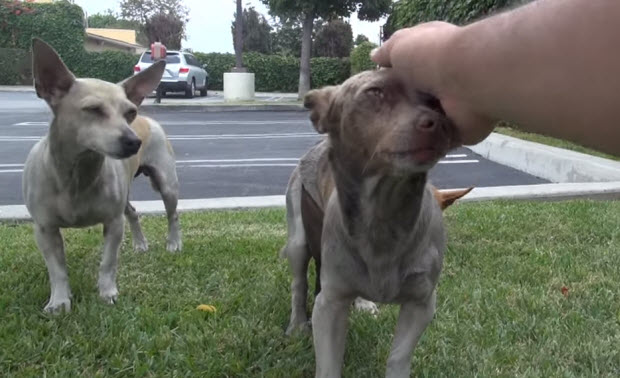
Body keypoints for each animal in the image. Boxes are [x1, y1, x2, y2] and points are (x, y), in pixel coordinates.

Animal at [22, 39, 182, 314]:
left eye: (129, 113)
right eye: (93, 109)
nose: (134, 141)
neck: (78, 175)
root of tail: (149, 119)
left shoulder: (113, 223)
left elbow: (108, 262)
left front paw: (107, 293)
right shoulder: (44, 229)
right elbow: (57, 270)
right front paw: (60, 301)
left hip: (166, 183)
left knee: (172, 214)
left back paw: (173, 243)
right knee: (133, 213)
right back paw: (140, 243)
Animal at [280, 69, 460, 376]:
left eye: (435, 101)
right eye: (375, 92)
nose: (439, 123)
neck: (383, 215)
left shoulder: (421, 304)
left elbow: (398, 357)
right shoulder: (329, 305)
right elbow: (328, 366)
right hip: (298, 241)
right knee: (298, 284)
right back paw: (296, 324)